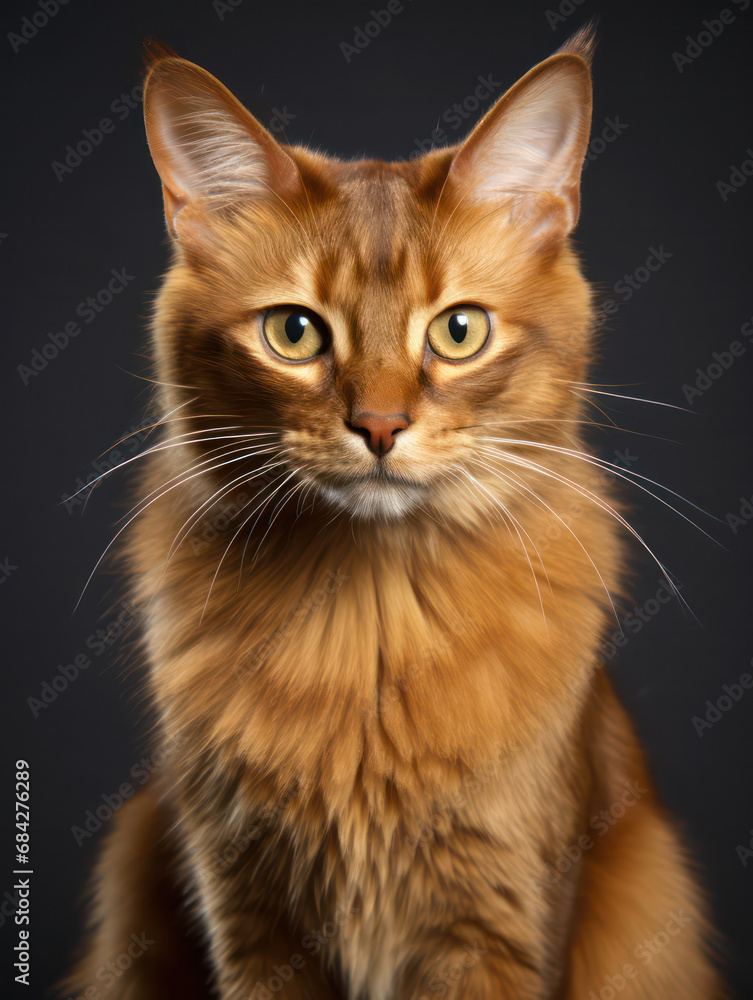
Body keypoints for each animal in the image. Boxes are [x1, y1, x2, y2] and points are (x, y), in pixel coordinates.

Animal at [64, 27, 724, 1000]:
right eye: (293, 333)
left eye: (458, 331)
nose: (378, 425)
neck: (368, 624)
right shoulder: (247, 916)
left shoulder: (496, 922)